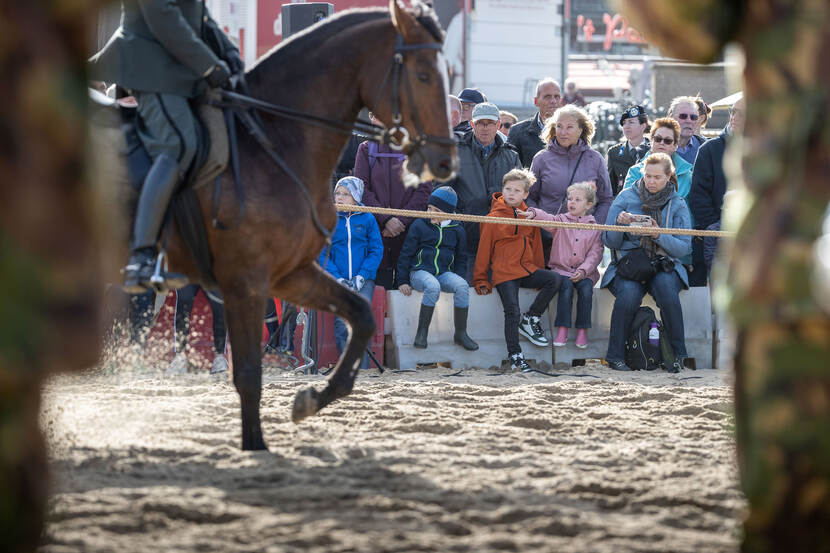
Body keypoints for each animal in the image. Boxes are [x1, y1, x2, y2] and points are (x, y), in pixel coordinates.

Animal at [159, 0, 458, 450]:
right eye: (422, 74)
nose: (445, 160)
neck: (270, 144)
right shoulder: (245, 280)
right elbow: (248, 373)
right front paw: (256, 445)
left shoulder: (288, 273)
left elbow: (362, 316)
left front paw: (312, 399)